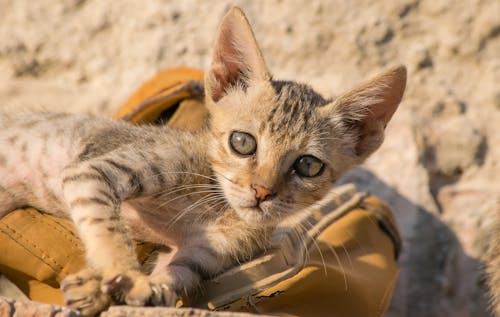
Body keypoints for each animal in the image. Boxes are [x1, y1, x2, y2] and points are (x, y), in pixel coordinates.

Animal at [0, 6, 406, 314]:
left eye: (308, 166)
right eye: (242, 143)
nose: (261, 192)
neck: (216, 207)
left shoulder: (196, 258)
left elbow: (172, 278)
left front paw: (116, 289)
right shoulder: (95, 171)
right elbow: (109, 228)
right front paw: (125, 274)